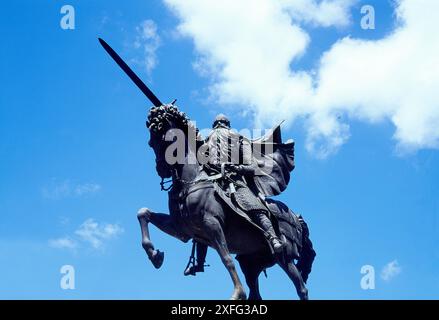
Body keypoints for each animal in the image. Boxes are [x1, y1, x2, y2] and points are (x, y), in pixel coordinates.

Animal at [138, 105, 316, 300]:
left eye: (168, 139)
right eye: (151, 143)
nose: (161, 170)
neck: (190, 182)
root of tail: (296, 218)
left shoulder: (212, 224)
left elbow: (227, 259)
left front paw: (238, 293)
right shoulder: (182, 229)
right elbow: (143, 213)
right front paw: (154, 255)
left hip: (284, 257)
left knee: (302, 288)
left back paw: (277, 244)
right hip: (252, 263)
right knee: (257, 292)